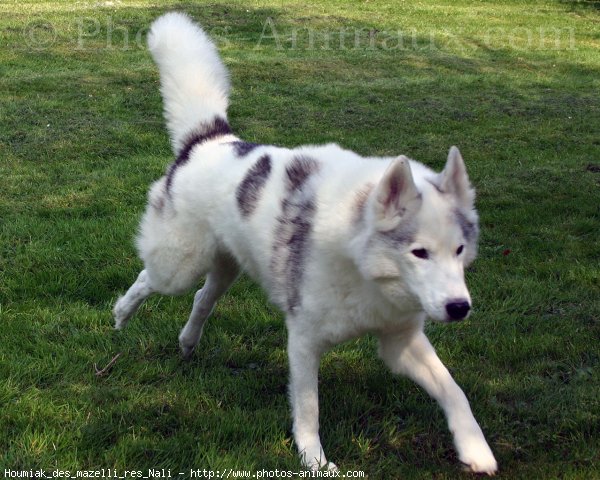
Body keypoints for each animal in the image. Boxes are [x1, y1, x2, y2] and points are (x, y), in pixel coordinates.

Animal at [112, 12, 496, 476]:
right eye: (419, 252)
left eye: (459, 250)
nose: (460, 308)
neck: (362, 265)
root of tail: (210, 140)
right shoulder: (304, 341)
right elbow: (309, 408)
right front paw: (314, 459)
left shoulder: (400, 342)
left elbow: (454, 390)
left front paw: (475, 449)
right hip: (178, 268)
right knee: (146, 279)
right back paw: (121, 314)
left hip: (224, 269)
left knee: (202, 300)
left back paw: (187, 343)